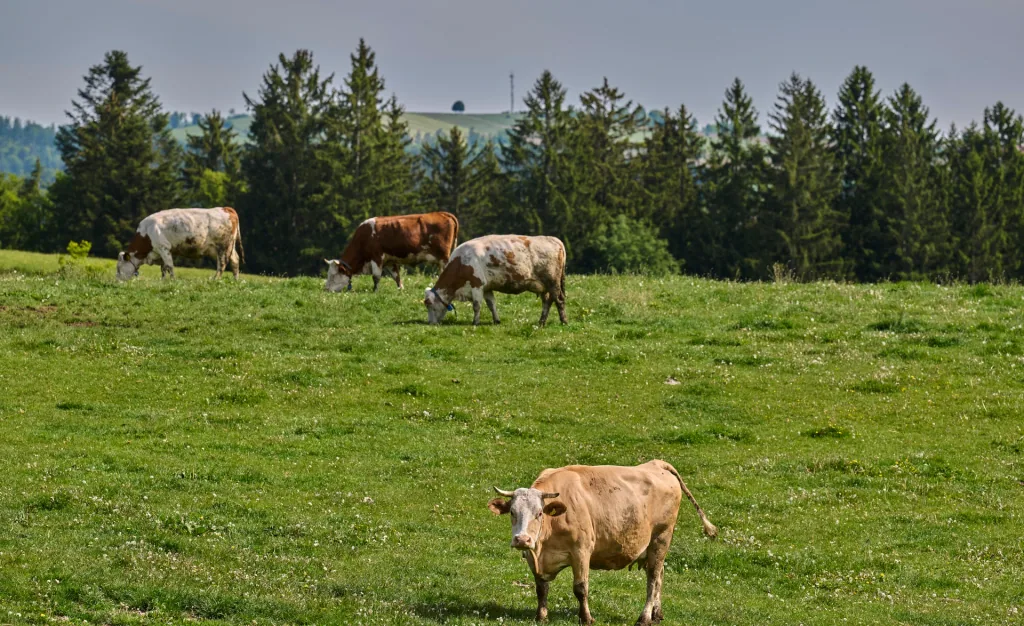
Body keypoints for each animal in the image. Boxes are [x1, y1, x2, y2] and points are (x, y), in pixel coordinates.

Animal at [116, 207, 244, 281]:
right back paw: (235, 280)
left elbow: (169, 267)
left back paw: (215, 280)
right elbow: (163, 268)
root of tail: (226, 208)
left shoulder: (164, 248)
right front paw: (163, 281)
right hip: (229, 247)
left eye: (118, 268)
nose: (117, 281)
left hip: (223, 246)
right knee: (235, 260)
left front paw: (173, 281)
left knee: (222, 264)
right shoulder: (162, 252)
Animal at [324, 212, 459, 292]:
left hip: (443, 257)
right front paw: (401, 289)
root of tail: (442, 213)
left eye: (333, 275)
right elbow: (396, 276)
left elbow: (376, 277)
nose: (326, 289)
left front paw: (375, 291)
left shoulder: (376, 257)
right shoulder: (389, 261)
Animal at [423, 234, 566, 326]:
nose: (430, 323)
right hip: (543, 286)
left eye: (429, 304)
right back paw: (541, 322)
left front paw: (475, 322)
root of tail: (554, 239)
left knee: (559, 300)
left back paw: (563, 321)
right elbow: (491, 305)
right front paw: (496, 320)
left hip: (553, 282)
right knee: (547, 302)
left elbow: (476, 305)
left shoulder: (477, 284)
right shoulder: (487, 287)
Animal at [488, 460, 717, 626]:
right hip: (654, 547)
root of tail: (657, 464)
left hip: (661, 538)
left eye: (539, 513)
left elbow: (580, 588)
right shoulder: (532, 556)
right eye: (513, 512)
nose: (522, 539)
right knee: (659, 575)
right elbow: (541, 588)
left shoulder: (581, 551)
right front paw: (541, 616)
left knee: (652, 580)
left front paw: (586, 618)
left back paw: (644, 618)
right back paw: (656, 614)